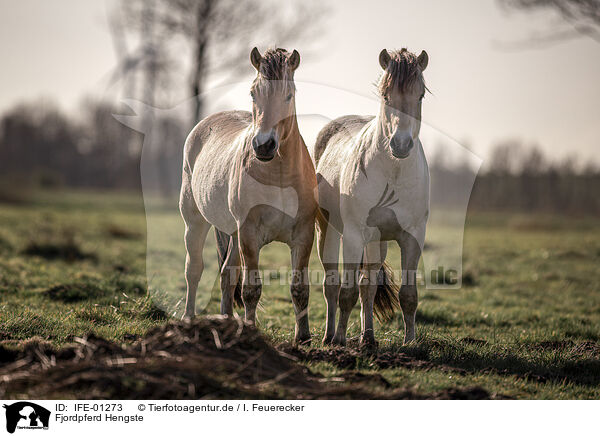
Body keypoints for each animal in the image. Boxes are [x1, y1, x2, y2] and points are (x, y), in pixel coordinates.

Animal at [179, 45, 316, 344]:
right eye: (254, 93)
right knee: (194, 270)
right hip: (195, 222)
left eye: (289, 95)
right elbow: (251, 290)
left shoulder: (303, 234)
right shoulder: (249, 234)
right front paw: (251, 331)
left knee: (226, 275)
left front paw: (303, 338)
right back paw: (188, 319)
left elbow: (299, 288)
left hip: (231, 233)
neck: (278, 175)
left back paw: (226, 321)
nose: (264, 145)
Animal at [314, 47, 432, 348]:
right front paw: (340, 341)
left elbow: (408, 295)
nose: (401, 144)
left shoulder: (413, 236)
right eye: (386, 96)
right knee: (332, 286)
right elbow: (346, 294)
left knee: (367, 285)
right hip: (329, 232)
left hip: (377, 241)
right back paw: (330, 337)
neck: (393, 171)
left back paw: (368, 338)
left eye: (420, 96)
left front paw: (410, 345)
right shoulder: (354, 235)